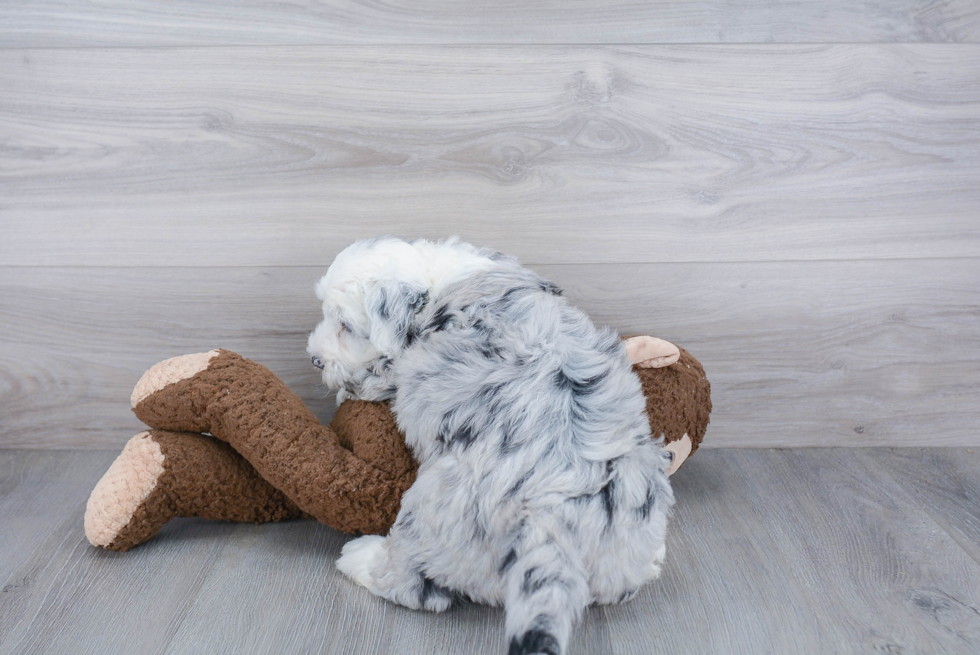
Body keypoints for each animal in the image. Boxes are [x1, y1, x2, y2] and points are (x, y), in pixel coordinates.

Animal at [308, 236, 672, 655]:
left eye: (346, 326)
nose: (314, 359)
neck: (435, 279)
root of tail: (552, 514)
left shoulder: (396, 366)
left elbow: (375, 377)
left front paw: (345, 387)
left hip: (431, 508)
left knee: (413, 587)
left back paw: (360, 558)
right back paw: (652, 561)